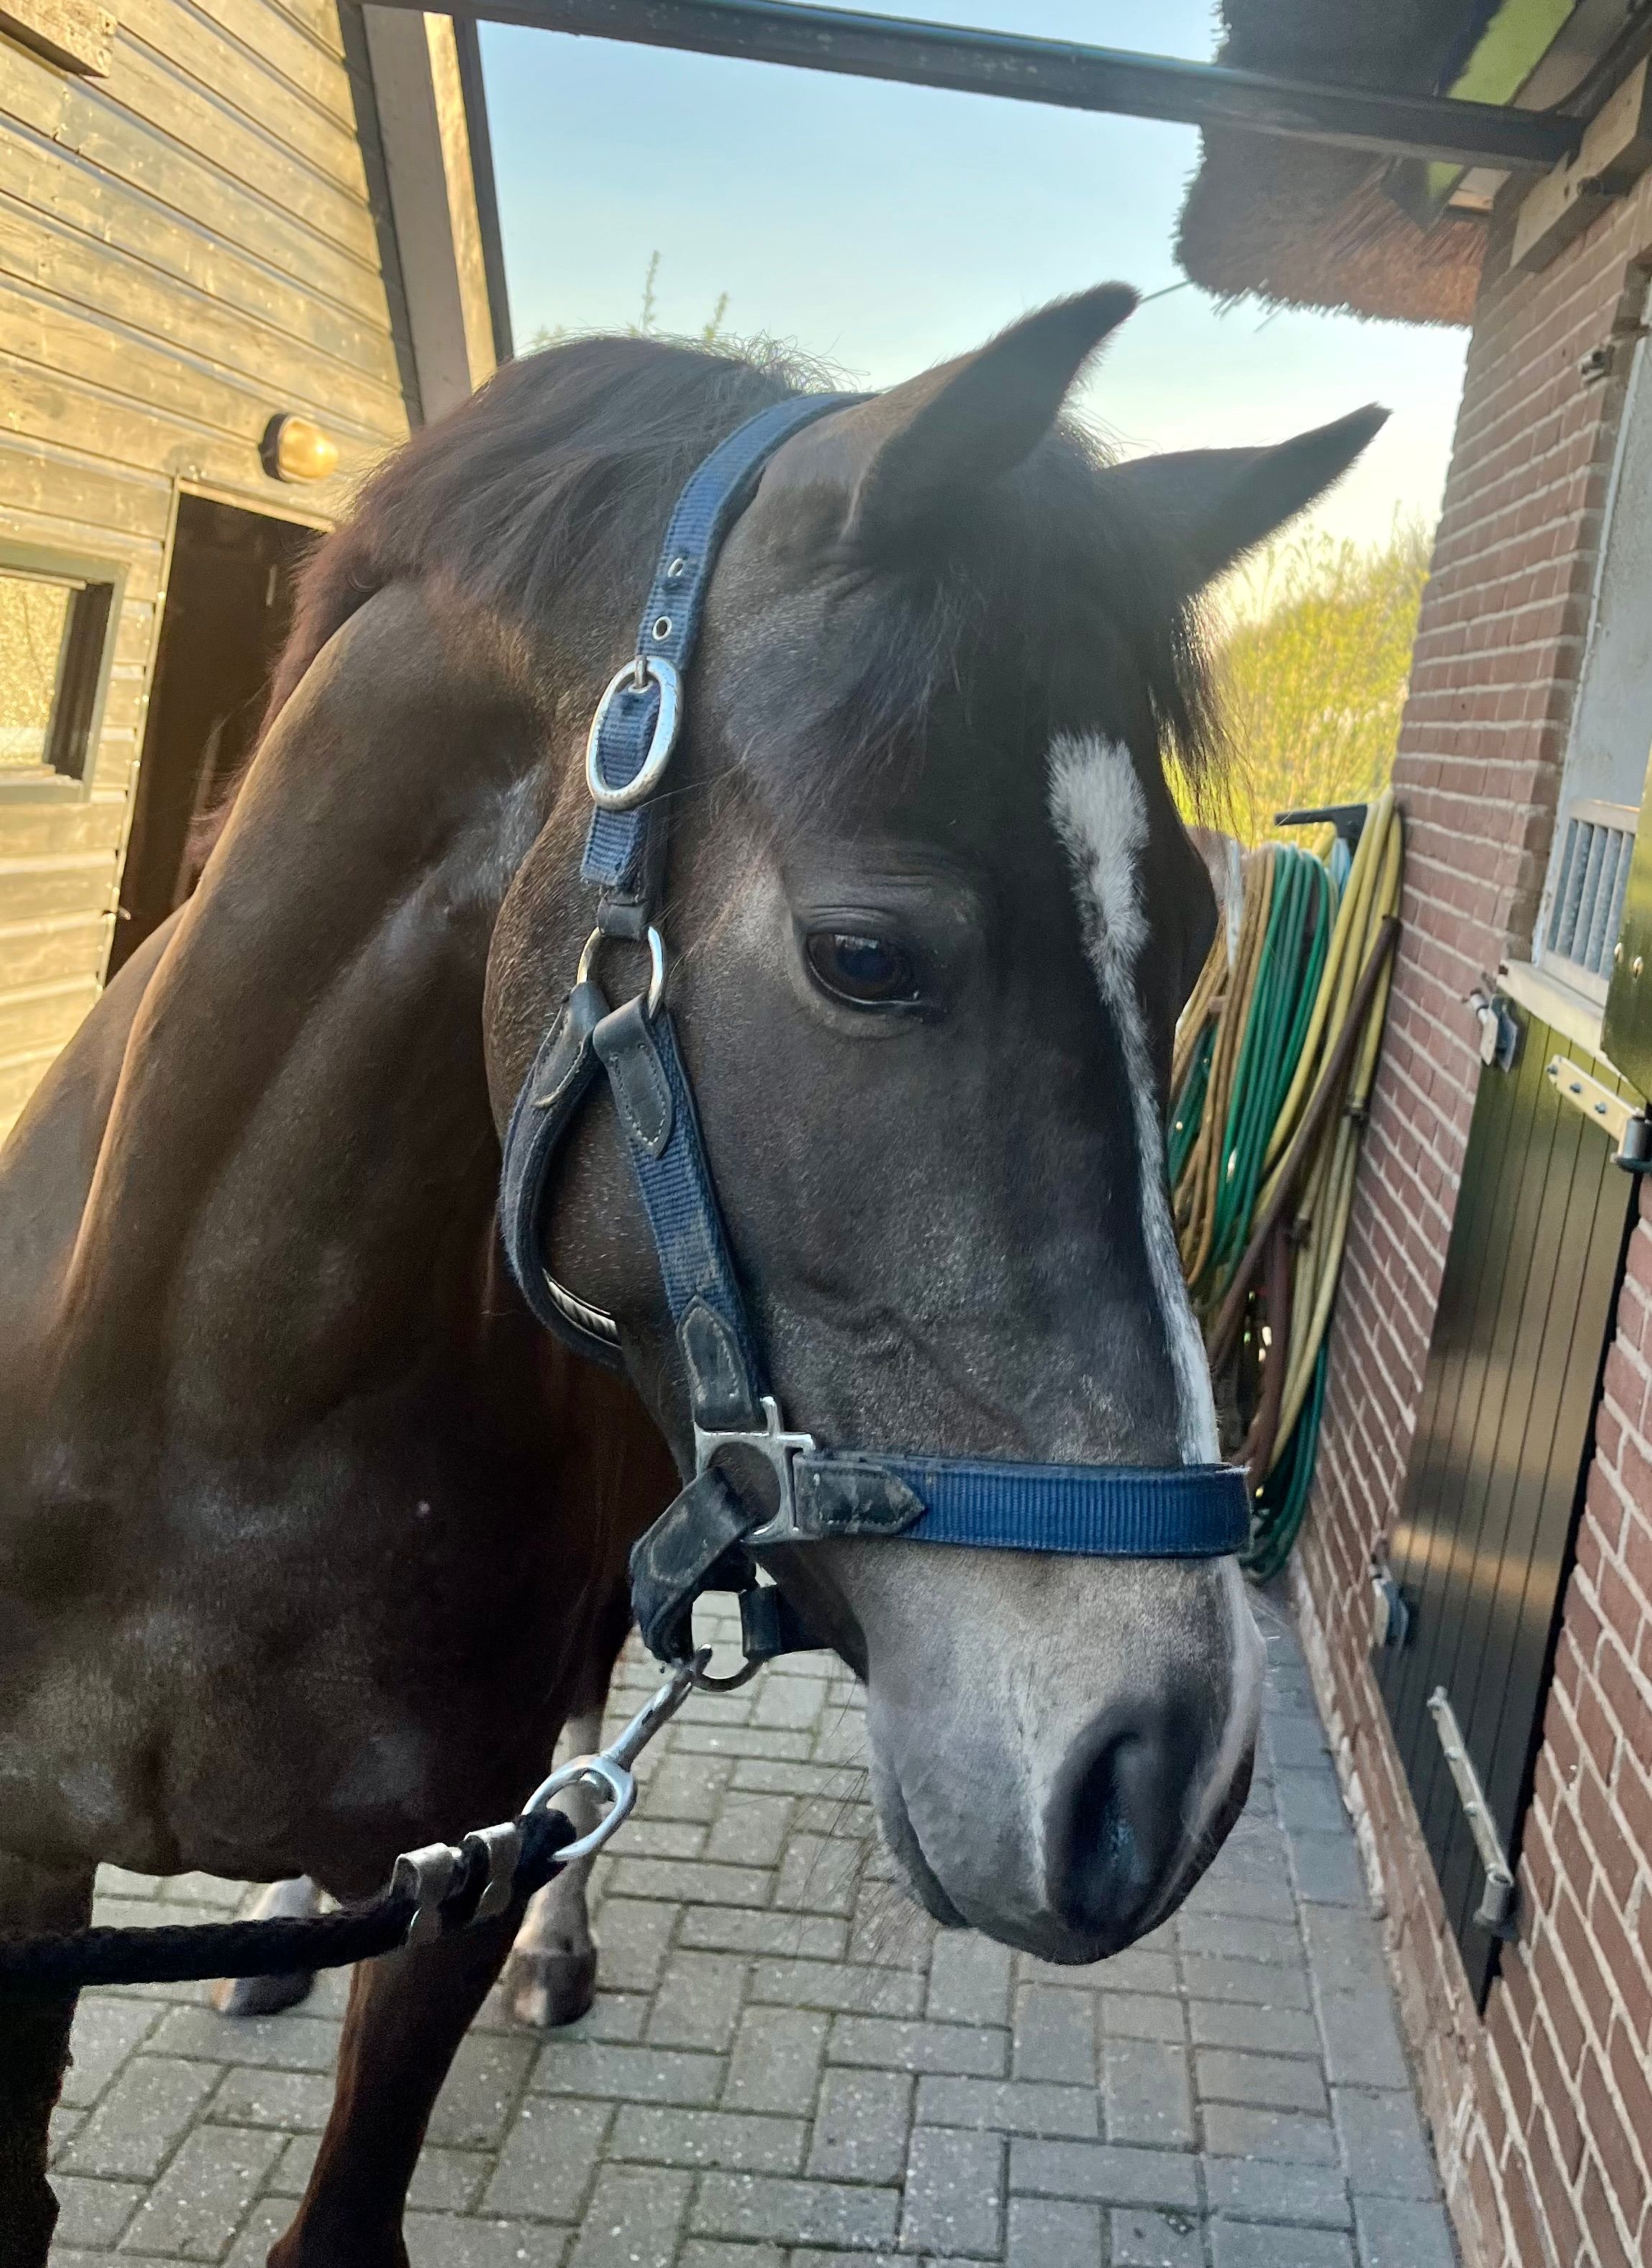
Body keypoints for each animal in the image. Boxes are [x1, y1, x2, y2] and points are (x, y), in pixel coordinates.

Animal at [0, 287, 1382, 2266]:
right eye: (865, 956)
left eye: (1193, 945)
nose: (1160, 1769)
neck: (205, 1417)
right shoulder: (25, 1875)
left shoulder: (450, 1880)